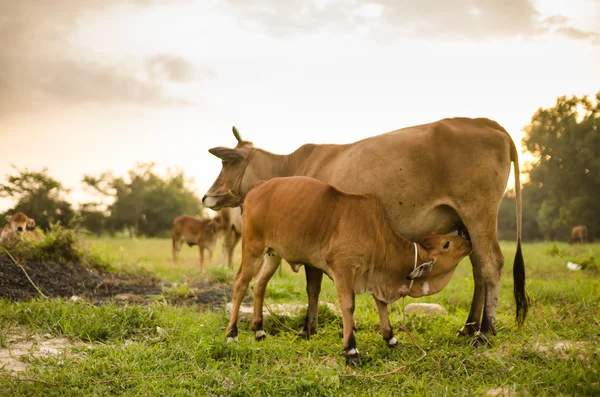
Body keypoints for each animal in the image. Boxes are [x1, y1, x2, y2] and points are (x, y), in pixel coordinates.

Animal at [204, 117, 528, 344]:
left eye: (225, 163)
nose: (207, 196)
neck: (289, 168)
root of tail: (487, 122)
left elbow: (313, 287)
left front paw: (308, 330)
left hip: (478, 213)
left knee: (491, 264)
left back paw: (484, 332)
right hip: (466, 225)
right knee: (478, 268)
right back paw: (469, 327)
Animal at [226, 178, 474, 364]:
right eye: (446, 244)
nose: (468, 239)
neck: (377, 234)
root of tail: (255, 189)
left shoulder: (375, 275)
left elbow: (381, 304)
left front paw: (390, 337)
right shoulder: (343, 269)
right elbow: (348, 305)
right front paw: (351, 350)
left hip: (273, 254)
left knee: (260, 283)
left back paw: (259, 330)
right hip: (252, 246)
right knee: (240, 282)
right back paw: (232, 333)